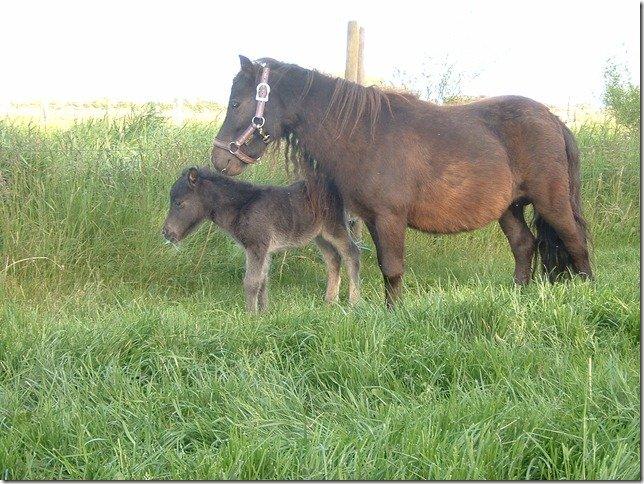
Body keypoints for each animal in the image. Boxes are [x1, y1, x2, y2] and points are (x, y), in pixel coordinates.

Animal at [162, 167, 362, 314]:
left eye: (178, 203)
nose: (166, 232)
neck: (242, 206)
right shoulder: (263, 249)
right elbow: (263, 280)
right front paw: (265, 313)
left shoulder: (257, 246)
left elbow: (251, 282)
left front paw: (250, 315)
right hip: (319, 235)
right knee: (333, 258)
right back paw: (330, 301)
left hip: (334, 227)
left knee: (352, 253)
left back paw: (353, 303)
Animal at [211, 56, 592, 306]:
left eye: (237, 103)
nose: (219, 159)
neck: (364, 133)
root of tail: (554, 120)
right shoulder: (371, 219)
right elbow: (382, 265)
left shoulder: (390, 217)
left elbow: (393, 268)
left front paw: (395, 315)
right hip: (508, 208)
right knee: (524, 245)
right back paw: (518, 296)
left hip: (551, 201)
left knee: (575, 241)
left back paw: (587, 292)